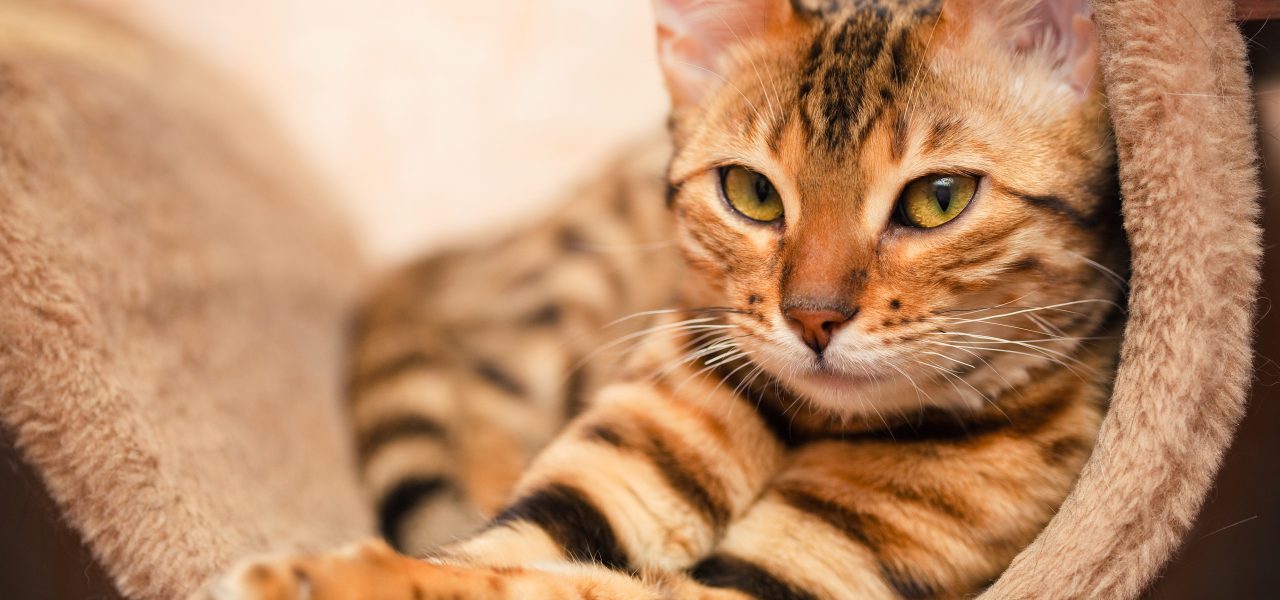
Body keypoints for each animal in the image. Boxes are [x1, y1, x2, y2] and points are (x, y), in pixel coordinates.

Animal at [194, 0, 1126, 596]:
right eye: (752, 193)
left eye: (938, 198)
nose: (814, 318)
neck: (808, 425)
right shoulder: (593, 491)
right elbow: (486, 559)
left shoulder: (784, 584)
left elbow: (557, 588)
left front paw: (318, 578)